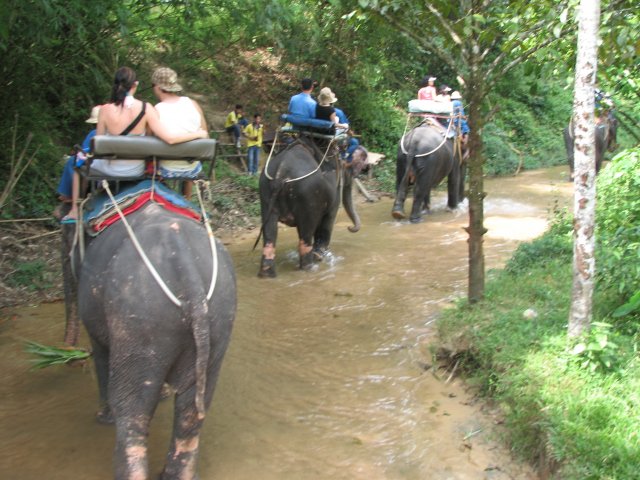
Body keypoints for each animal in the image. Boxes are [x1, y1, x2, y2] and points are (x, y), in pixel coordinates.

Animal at [256, 134, 364, 278]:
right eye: (350, 169)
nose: (350, 227)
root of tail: (281, 173)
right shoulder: (333, 191)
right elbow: (329, 217)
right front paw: (320, 254)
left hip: (266, 192)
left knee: (270, 232)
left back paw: (267, 274)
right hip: (307, 195)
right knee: (306, 233)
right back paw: (310, 268)